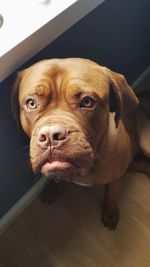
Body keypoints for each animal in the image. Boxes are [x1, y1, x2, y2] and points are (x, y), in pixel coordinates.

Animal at [11, 58, 150, 230]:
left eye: (87, 101)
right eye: (31, 103)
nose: (51, 136)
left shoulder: (116, 175)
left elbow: (112, 192)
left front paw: (110, 212)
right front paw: (53, 188)